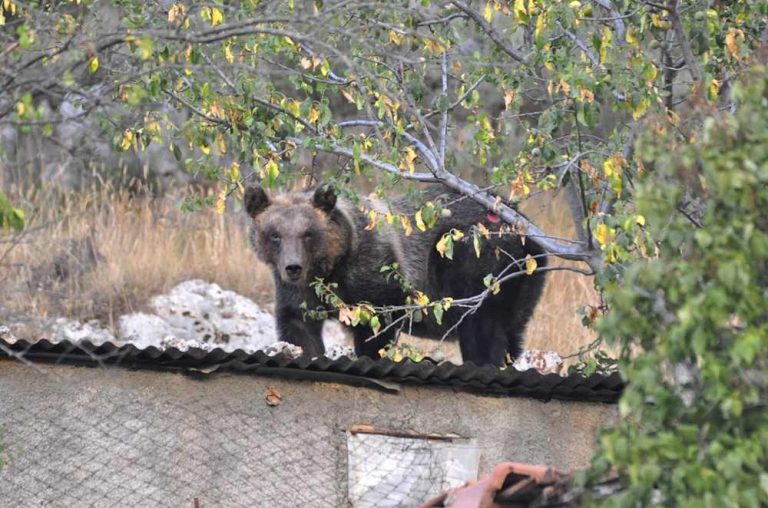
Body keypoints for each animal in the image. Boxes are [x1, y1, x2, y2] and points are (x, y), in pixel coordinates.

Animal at [246, 183, 544, 366]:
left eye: (308, 233)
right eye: (275, 235)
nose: (293, 266)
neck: (331, 268)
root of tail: (525, 227)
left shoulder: (375, 275)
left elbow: (376, 326)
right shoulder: (297, 292)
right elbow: (298, 327)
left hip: (476, 259)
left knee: (481, 326)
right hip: (522, 285)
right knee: (510, 331)